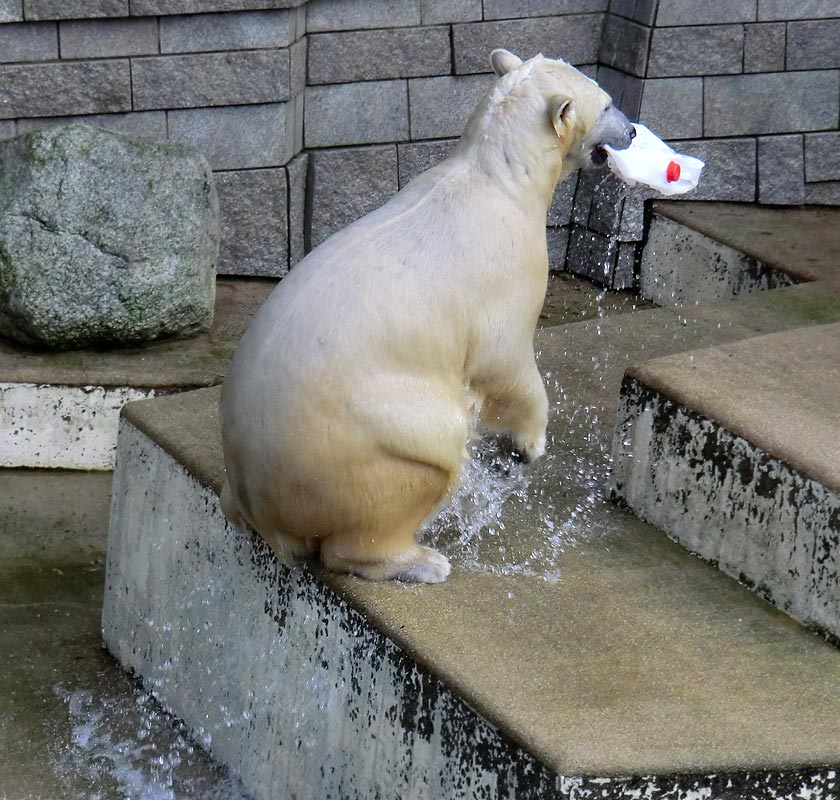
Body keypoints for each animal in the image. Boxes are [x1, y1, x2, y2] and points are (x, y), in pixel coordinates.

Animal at [220, 51, 632, 588]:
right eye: (606, 102)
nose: (631, 130)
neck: (501, 175)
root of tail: (260, 502)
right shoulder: (507, 271)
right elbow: (505, 363)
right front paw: (524, 446)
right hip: (358, 447)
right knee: (427, 453)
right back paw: (421, 560)